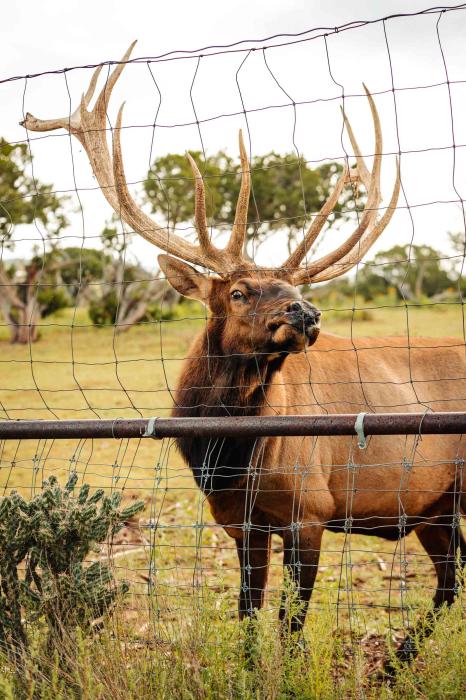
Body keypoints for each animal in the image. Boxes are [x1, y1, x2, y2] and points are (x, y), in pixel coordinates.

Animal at [22, 43, 466, 663]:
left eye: (295, 289)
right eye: (238, 291)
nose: (306, 313)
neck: (229, 457)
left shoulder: (311, 513)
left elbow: (290, 626)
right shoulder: (240, 524)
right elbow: (249, 618)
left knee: (451, 581)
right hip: (434, 505)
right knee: (451, 581)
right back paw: (396, 665)